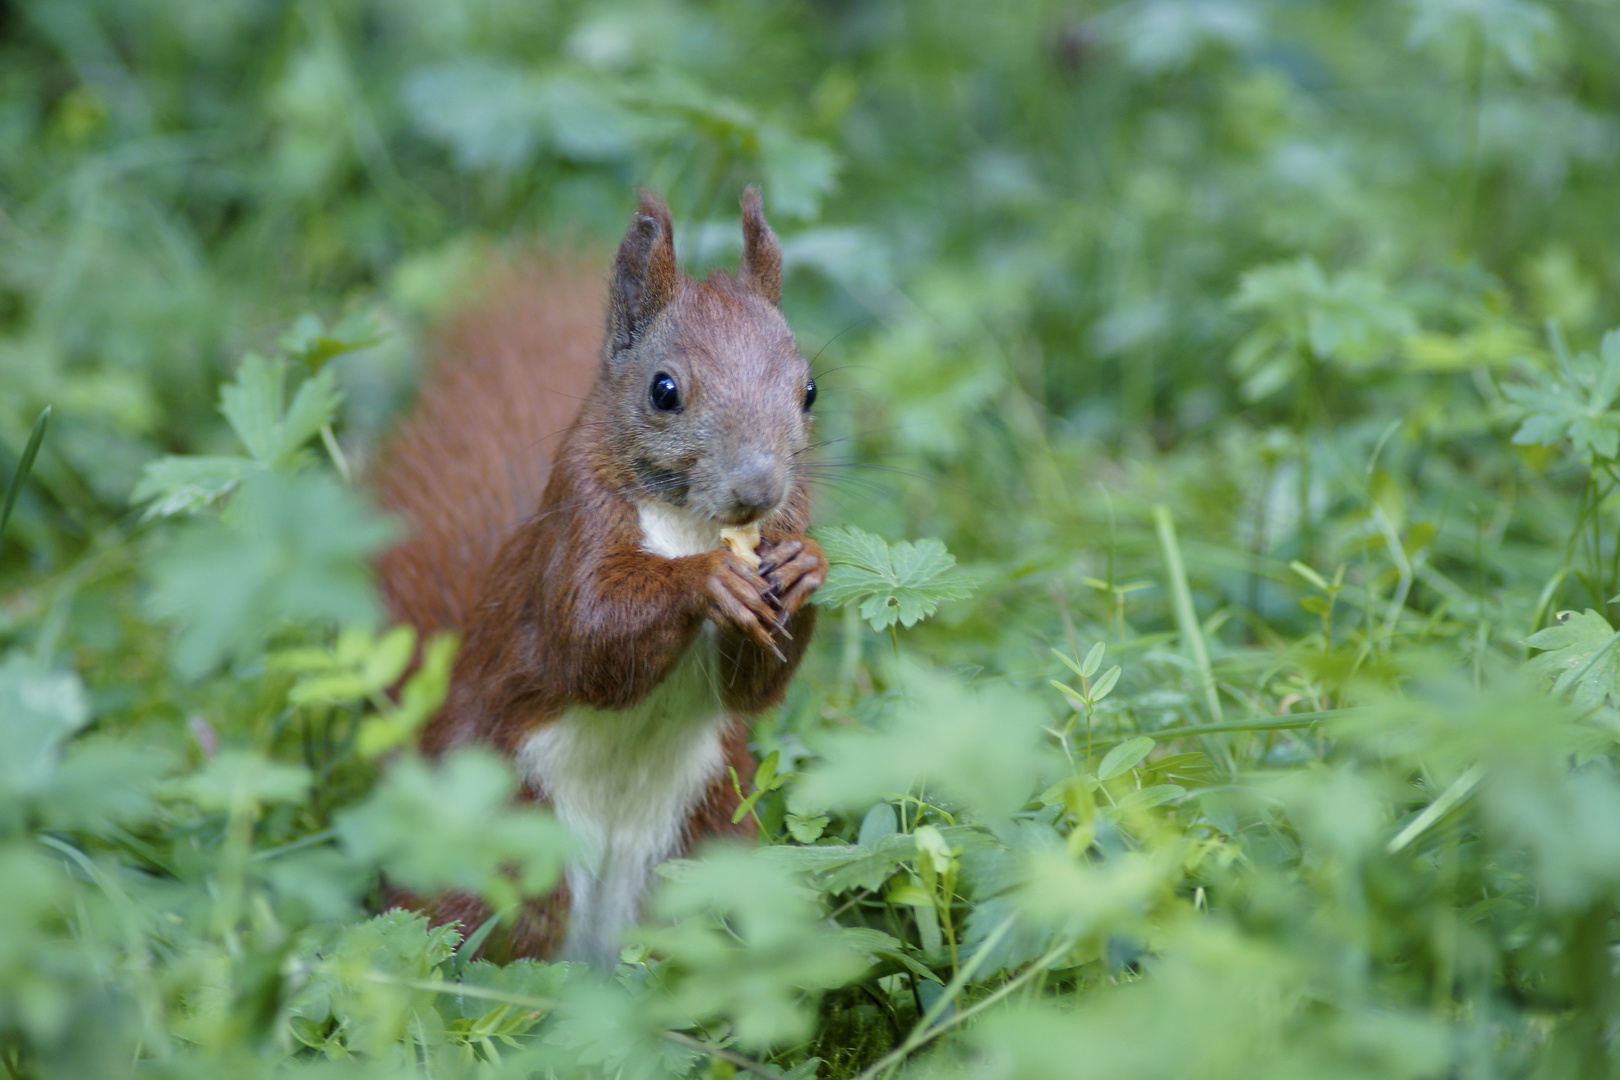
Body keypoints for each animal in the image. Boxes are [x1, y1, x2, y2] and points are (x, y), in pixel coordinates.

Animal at [374, 186, 829, 965]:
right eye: (664, 389)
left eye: (810, 391)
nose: (758, 489)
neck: (688, 522)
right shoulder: (574, 526)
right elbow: (588, 639)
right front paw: (708, 579)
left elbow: (751, 688)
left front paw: (806, 566)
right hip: (506, 847)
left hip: (710, 841)